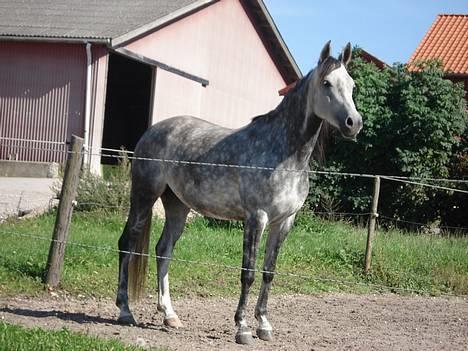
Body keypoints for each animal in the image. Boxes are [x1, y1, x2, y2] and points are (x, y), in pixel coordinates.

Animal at [116, 42, 362, 346]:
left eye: (351, 85)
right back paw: (125, 311)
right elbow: (249, 273)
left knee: (163, 251)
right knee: (127, 242)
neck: (285, 154)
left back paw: (170, 316)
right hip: (144, 196)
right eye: (326, 83)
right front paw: (242, 328)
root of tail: (152, 131)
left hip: (177, 206)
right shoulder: (256, 218)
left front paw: (264, 325)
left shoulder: (284, 222)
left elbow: (268, 273)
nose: (354, 123)